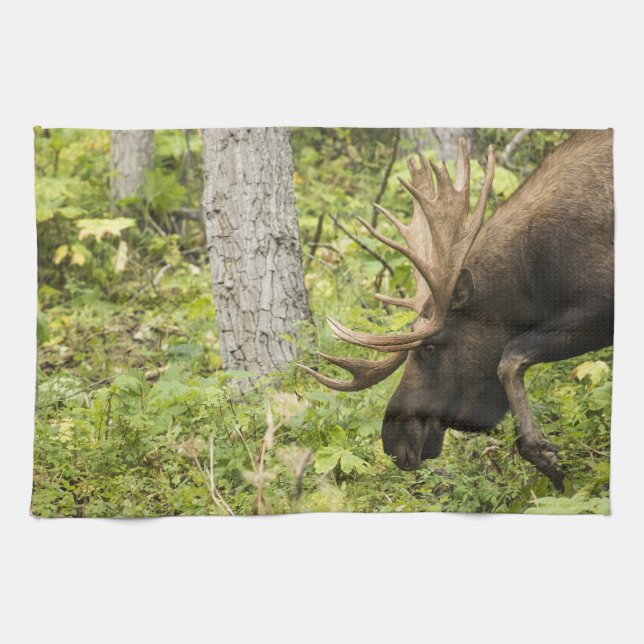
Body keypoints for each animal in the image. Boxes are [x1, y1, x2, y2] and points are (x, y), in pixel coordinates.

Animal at [299, 130, 614, 490]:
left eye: (429, 348)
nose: (394, 441)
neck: (535, 278)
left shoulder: (600, 306)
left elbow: (510, 357)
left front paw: (543, 455)